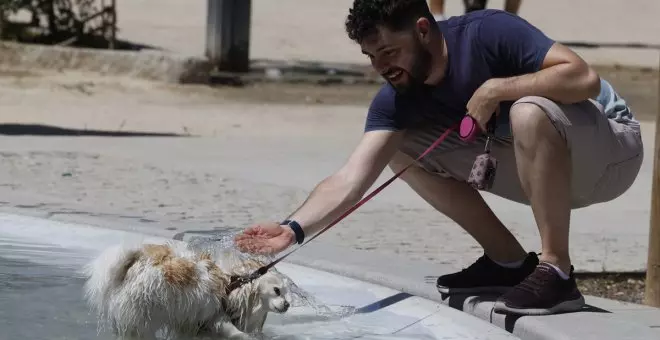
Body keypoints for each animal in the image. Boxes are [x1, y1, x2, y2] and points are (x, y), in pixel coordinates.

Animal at [82, 240, 288, 338]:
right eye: (277, 291)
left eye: (288, 295)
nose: (287, 305)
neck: (236, 285)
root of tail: (134, 264)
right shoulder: (216, 320)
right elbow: (238, 334)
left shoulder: (194, 327)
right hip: (143, 316)